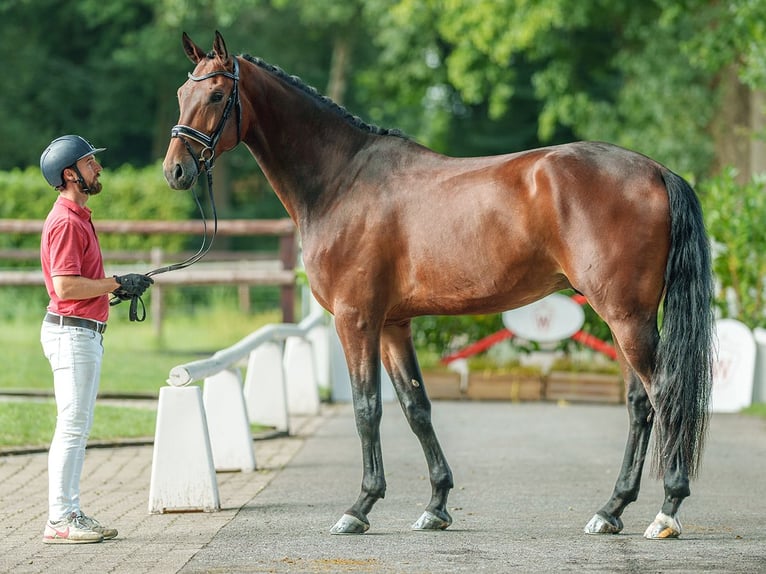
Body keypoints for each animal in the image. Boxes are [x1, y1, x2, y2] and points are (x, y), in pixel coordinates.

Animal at [164, 31, 720, 544]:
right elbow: (416, 408)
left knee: (663, 393)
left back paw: (666, 511)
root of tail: (655, 170)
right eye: (181, 93)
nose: (175, 170)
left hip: (625, 316)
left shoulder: (355, 319)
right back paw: (611, 510)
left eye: (217, 95)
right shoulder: (393, 323)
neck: (342, 183)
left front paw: (358, 508)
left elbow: (367, 409)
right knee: (639, 404)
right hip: (624, 317)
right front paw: (435, 506)